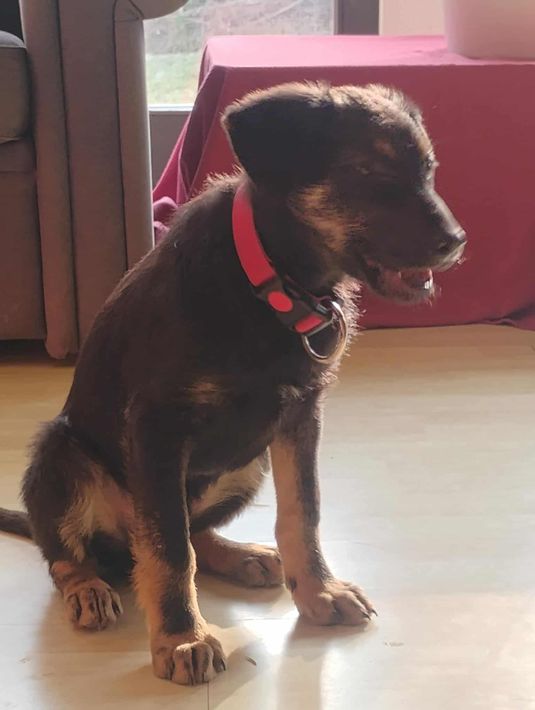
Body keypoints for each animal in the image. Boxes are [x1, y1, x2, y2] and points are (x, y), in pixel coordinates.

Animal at [0, 82, 465, 686]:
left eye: (429, 171)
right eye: (368, 172)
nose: (457, 242)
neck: (268, 282)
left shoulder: (300, 416)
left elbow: (303, 511)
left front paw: (318, 591)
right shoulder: (157, 428)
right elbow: (170, 549)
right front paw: (181, 638)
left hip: (248, 463)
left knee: (189, 531)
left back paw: (241, 555)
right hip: (60, 454)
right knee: (72, 552)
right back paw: (90, 588)